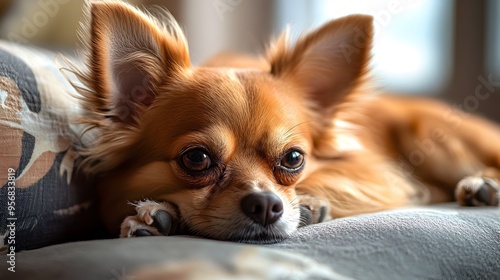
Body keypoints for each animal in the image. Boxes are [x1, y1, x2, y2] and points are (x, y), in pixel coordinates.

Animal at [72, 0, 498, 243]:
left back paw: (483, 185)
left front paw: (309, 205)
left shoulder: (378, 177)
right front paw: (159, 216)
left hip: (430, 138)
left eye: (293, 159)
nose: (265, 204)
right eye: (197, 159)